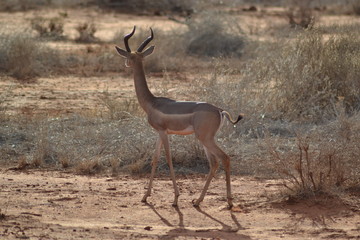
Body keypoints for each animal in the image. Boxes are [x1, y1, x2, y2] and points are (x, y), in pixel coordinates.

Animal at [115, 25, 243, 207]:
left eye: (131, 56)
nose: (126, 64)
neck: (153, 102)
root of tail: (219, 110)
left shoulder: (163, 132)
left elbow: (168, 159)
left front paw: (175, 198)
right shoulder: (159, 133)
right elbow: (155, 158)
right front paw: (145, 196)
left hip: (205, 138)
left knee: (224, 158)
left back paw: (229, 202)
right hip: (205, 139)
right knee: (214, 163)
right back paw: (197, 200)